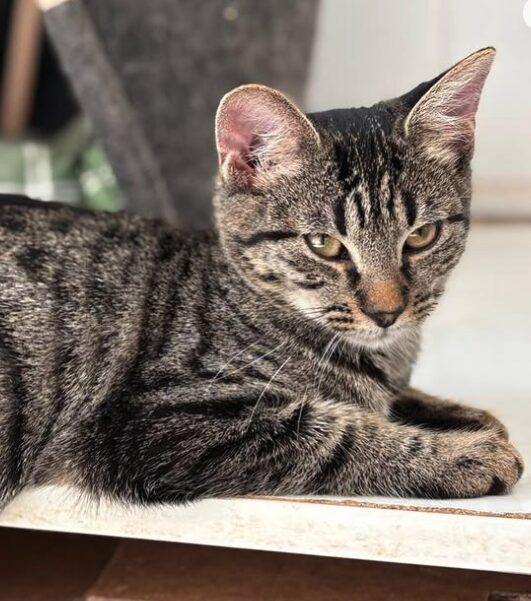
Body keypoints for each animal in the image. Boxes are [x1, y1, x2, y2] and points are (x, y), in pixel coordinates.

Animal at [0, 47, 524, 508]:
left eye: (421, 236)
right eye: (324, 244)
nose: (387, 312)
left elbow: (398, 398)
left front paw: (466, 416)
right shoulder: (158, 420)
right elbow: (337, 434)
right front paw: (465, 452)